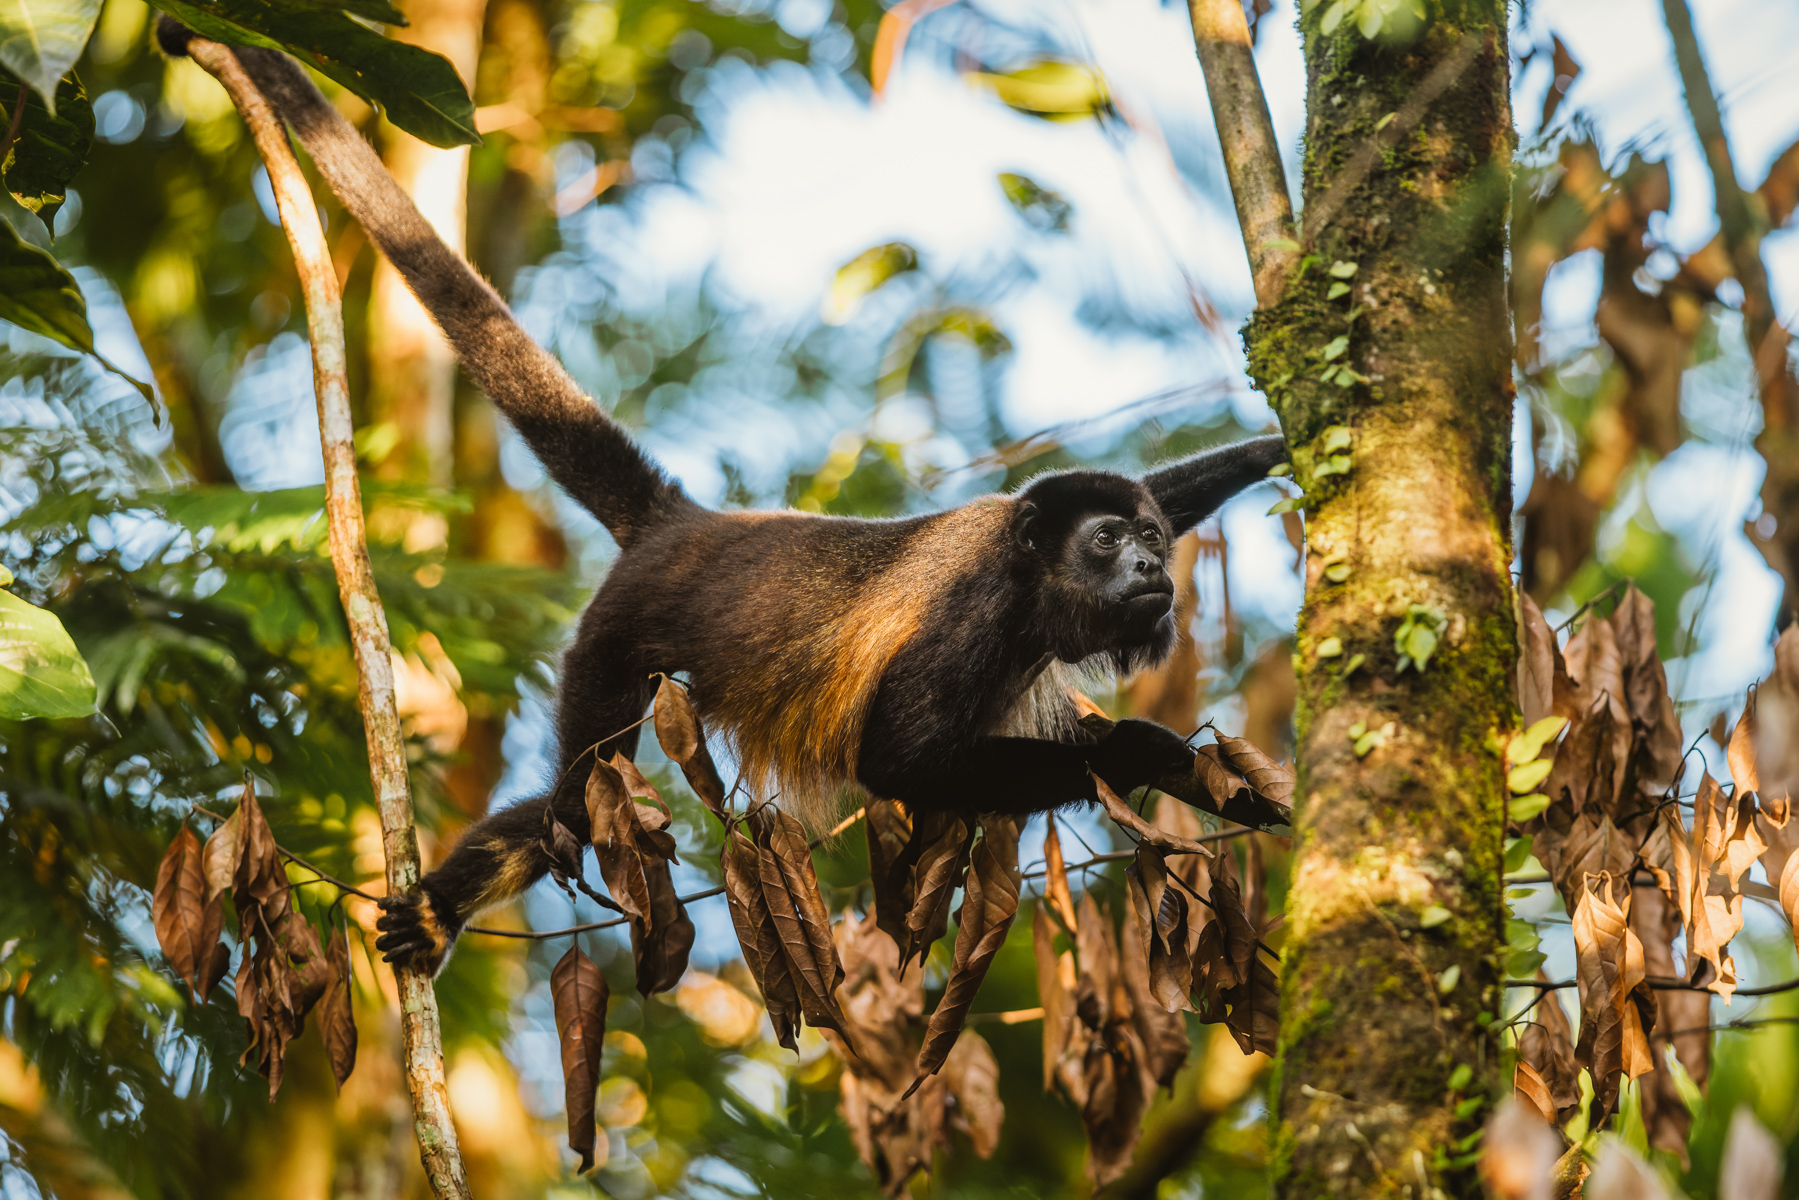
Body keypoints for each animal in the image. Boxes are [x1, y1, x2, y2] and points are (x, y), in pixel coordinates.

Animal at [212, 42, 1289, 974]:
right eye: (1106, 542)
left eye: (1149, 537)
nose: (1148, 568)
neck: (1031, 587)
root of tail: (684, 523)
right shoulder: (973, 614)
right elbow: (898, 758)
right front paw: (1144, 751)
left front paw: (1279, 439)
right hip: (613, 639)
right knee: (575, 807)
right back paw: (452, 902)